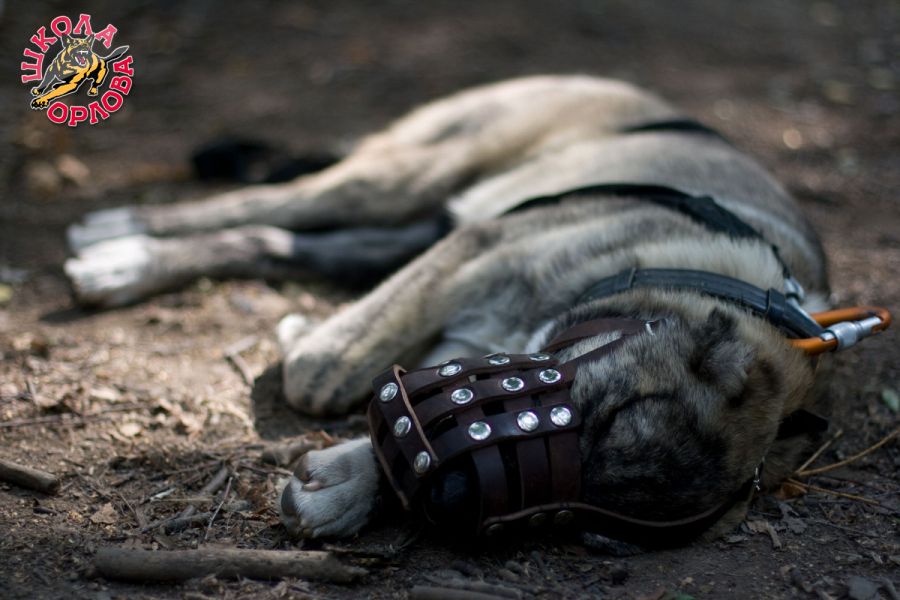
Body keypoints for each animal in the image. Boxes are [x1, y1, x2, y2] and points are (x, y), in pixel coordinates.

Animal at [65, 76, 835, 543]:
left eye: (589, 520)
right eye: (619, 413)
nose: (454, 505)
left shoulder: (463, 342)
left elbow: (416, 424)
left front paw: (347, 485)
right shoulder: (479, 251)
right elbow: (323, 372)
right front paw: (312, 348)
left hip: (414, 221)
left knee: (283, 241)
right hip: (413, 175)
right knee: (271, 203)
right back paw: (117, 239)